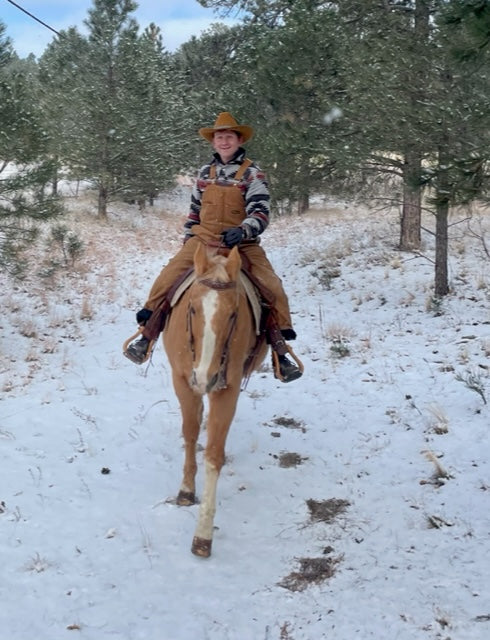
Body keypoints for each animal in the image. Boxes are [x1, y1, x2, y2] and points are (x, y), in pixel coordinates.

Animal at [163, 242, 268, 556]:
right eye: (192, 308)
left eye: (234, 314)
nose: (204, 377)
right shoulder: (182, 381)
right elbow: (189, 433)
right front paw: (186, 490)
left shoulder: (227, 390)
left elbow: (213, 455)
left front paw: (203, 536)